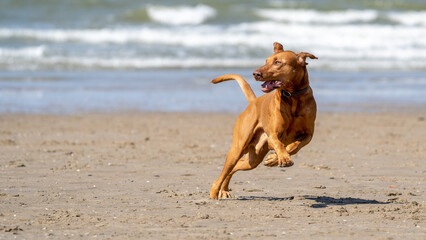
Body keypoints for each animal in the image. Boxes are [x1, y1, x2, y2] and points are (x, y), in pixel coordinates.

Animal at [210, 42, 316, 200]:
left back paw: (224, 190)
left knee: (235, 167)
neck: (293, 97)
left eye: (277, 62)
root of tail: (254, 101)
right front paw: (282, 158)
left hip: (253, 159)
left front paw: (274, 159)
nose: (256, 73)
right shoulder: (273, 135)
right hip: (238, 147)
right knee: (226, 169)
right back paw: (214, 191)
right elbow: (279, 144)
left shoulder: (308, 135)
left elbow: (295, 146)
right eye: (266, 61)